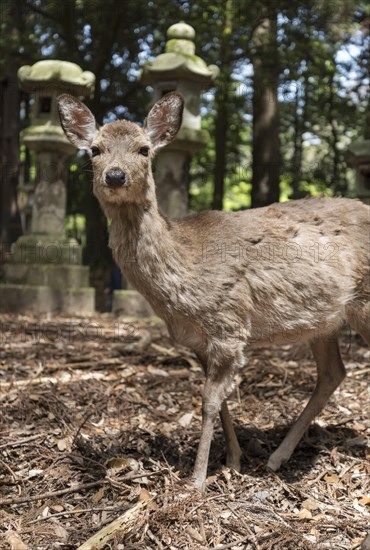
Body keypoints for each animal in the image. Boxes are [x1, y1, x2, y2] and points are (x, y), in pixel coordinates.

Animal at [57, 92, 370, 494]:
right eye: (95, 150)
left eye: (144, 149)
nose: (115, 175)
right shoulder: (198, 339)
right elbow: (219, 401)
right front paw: (233, 460)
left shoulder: (229, 324)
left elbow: (208, 400)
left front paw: (197, 479)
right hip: (325, 321)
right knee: (333, 374)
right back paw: (276, 457)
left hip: (364, 303)